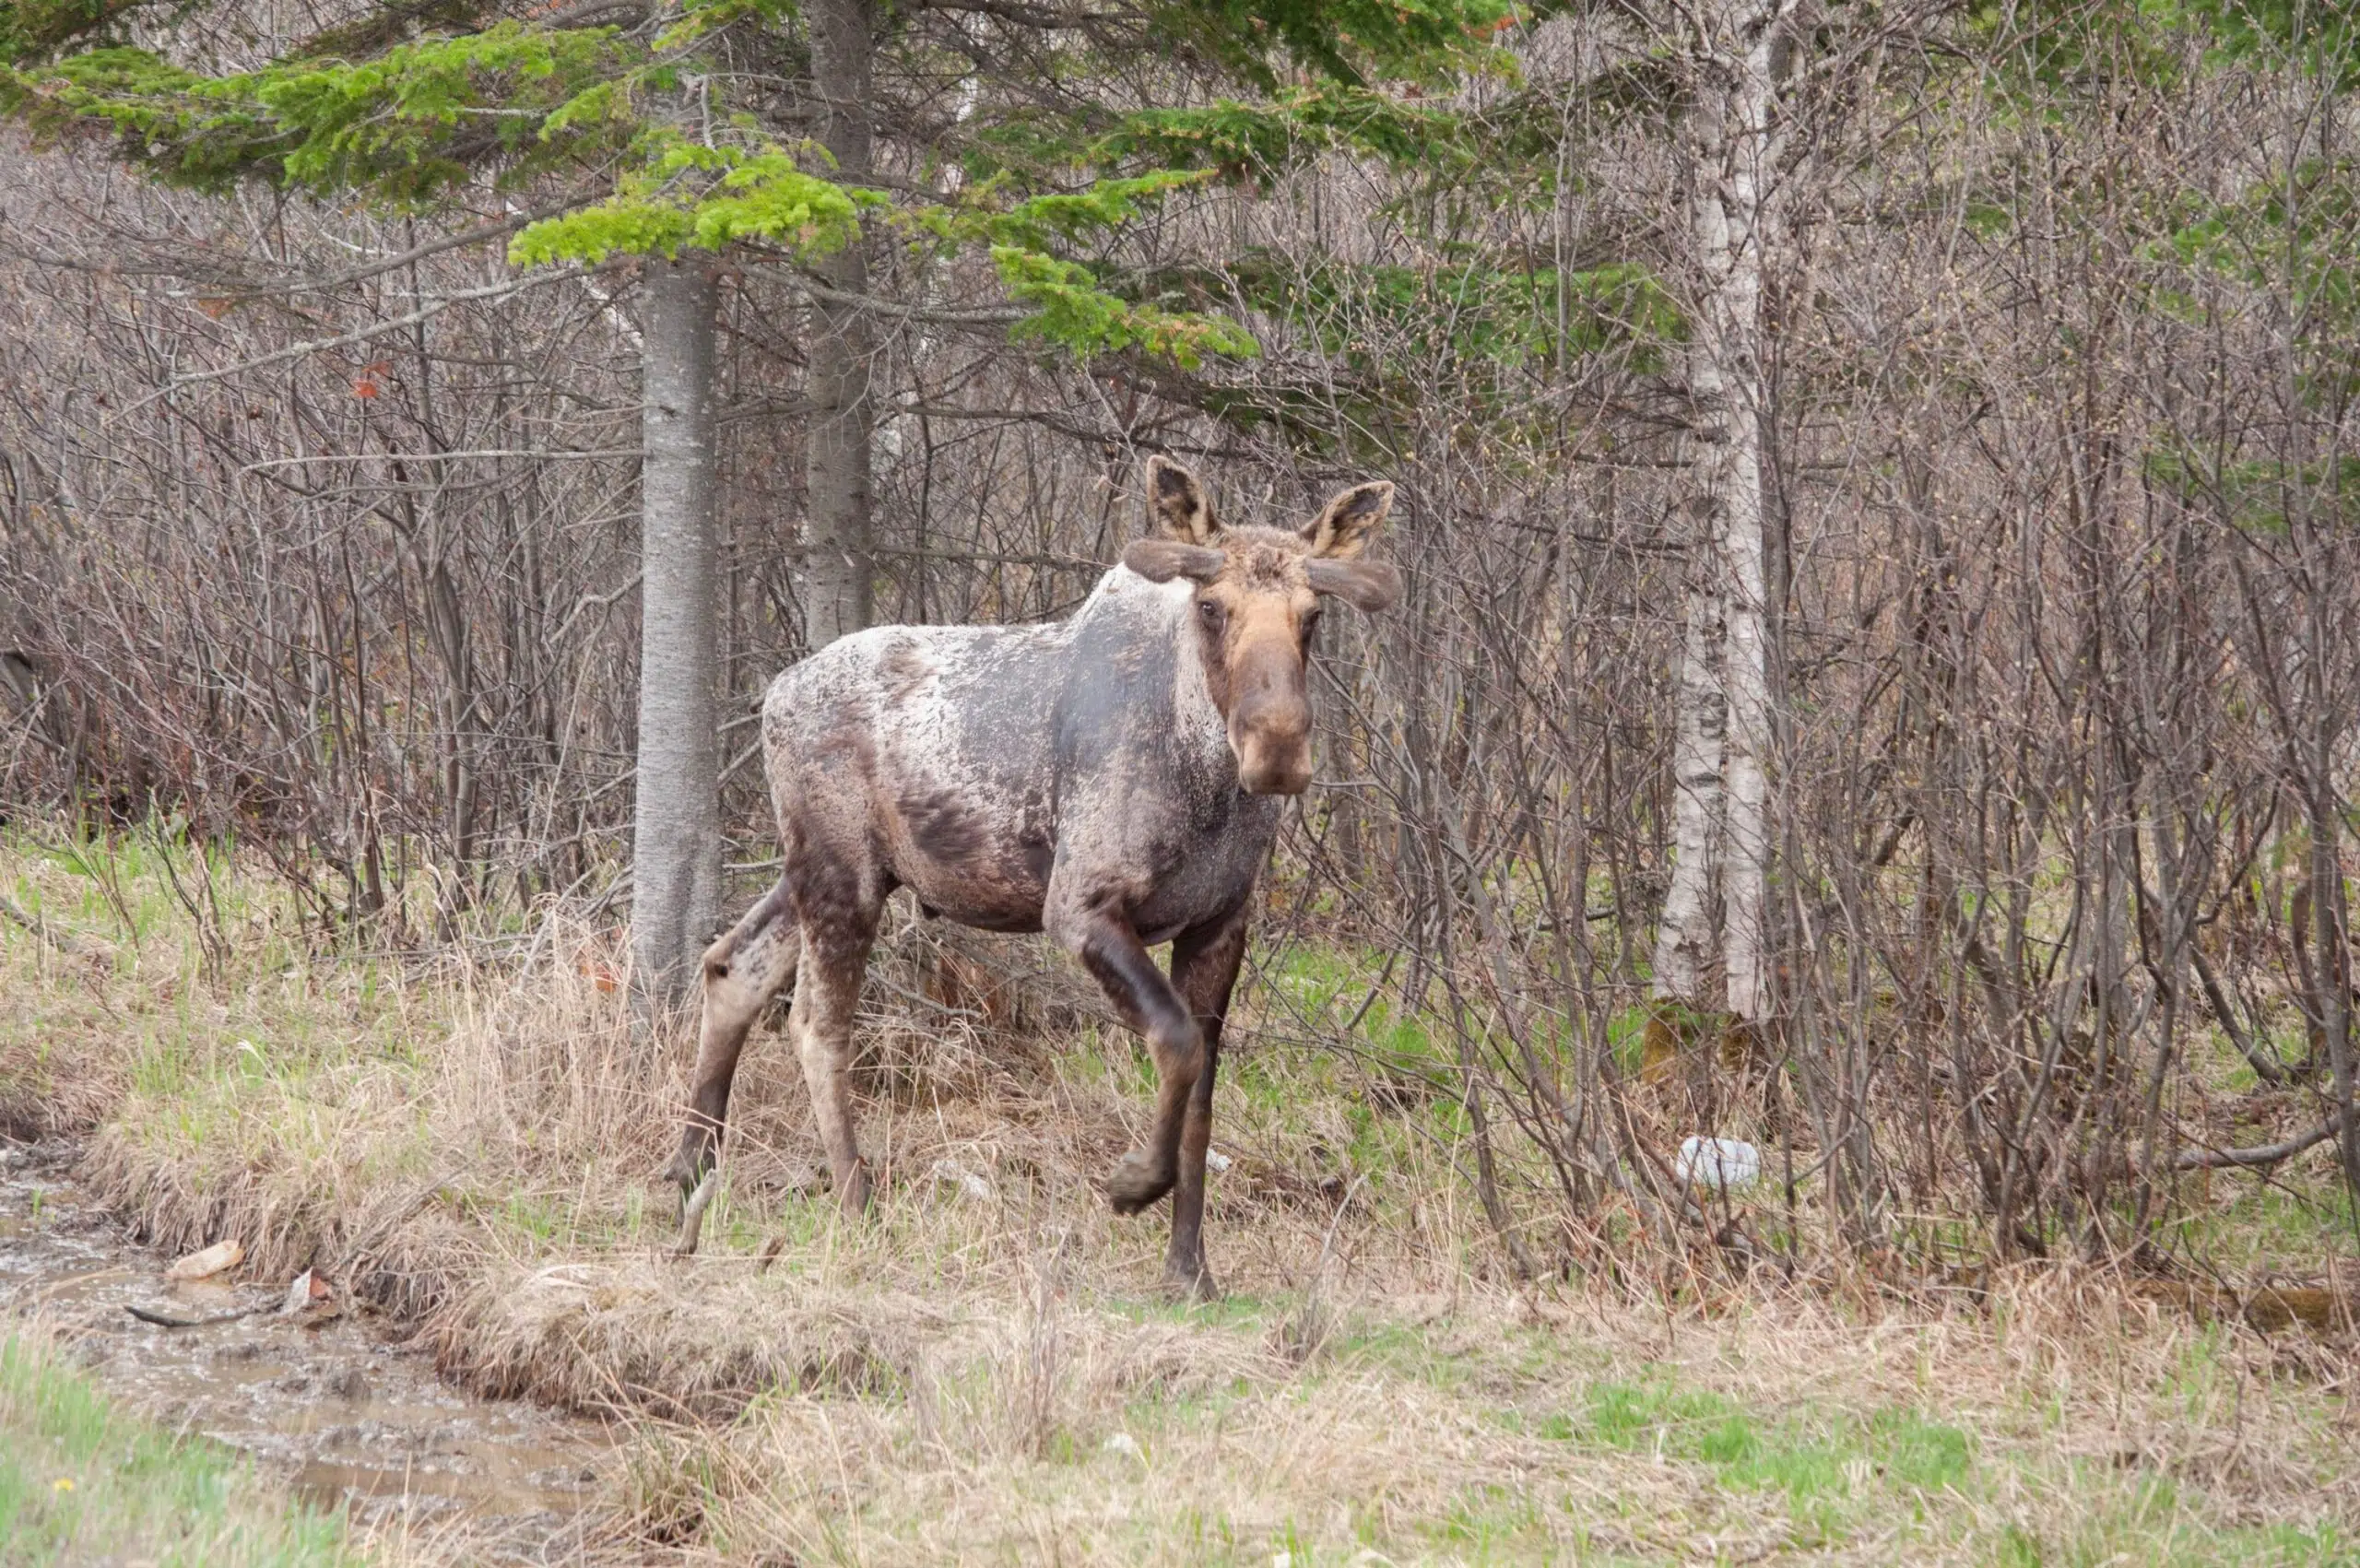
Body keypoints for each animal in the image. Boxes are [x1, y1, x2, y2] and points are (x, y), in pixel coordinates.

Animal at [665, 455, 1397, 1293]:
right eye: (1212, 606)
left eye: (1312, 615)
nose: (1277, 751)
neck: (1206, 781)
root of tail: (772, 695)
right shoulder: (1079, 904)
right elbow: (1175, 1041)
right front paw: (1134, 1182)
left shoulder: (1221, 925)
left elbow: (1203, 1097)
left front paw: (1189, 1270)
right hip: (841, 875)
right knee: (815, 1022)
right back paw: (858, 1205)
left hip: (835, 870)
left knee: (732, 963)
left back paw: (691, 1167)